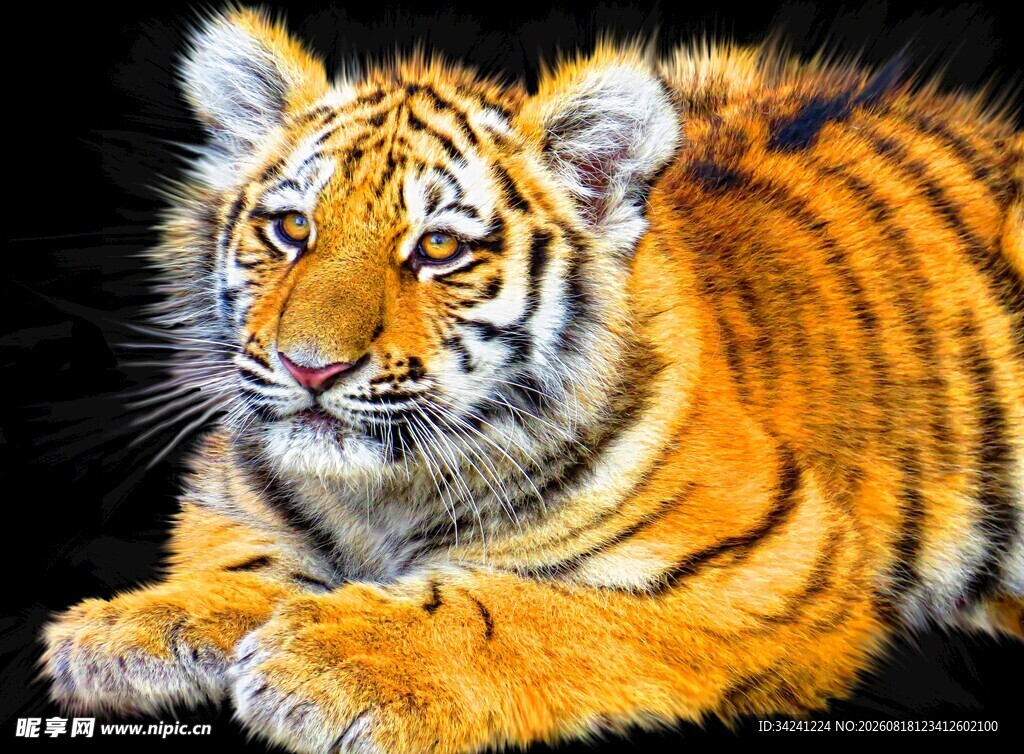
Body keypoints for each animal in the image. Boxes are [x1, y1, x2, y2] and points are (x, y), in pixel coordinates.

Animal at [41, 7, 1024, 753]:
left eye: (439, 247)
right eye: (290, 229)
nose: (309, 365)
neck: (380, 498)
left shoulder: (779, 567)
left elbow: (530, 612)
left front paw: (334, 661)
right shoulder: (232, 504)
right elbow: (245, 561)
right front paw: (128, 627)